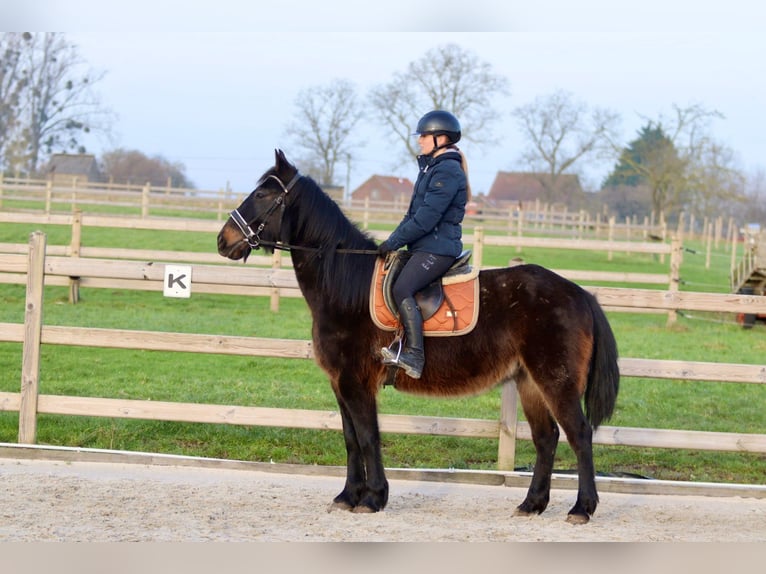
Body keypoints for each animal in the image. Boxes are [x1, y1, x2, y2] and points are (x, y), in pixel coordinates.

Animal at [219, 151, 620, 524]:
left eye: (262, 193)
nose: (223, 240)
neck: (346, 287)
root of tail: (580, 294)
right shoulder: (339, 382)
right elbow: (350, 439)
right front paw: (347, 496)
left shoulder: (355, 381)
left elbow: (368, 436)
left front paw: (373, 498)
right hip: (530, 382)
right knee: (546, 437)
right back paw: (531, 504)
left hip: (556, 381)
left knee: (579, 434)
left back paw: (582, 508)